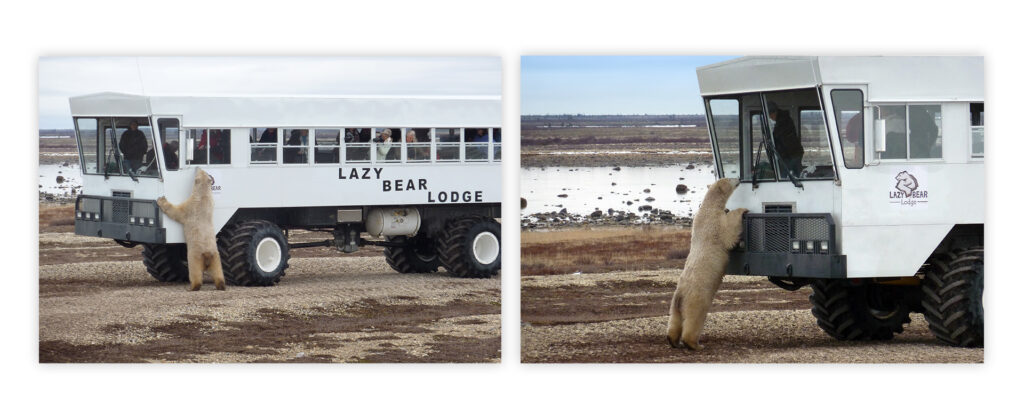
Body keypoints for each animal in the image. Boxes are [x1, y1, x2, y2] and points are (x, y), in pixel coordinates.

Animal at [663, 178, 745, 350]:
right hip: (697, 299)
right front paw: (742, 210)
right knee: (695, 319)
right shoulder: (715, 223)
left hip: (674, 303)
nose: (739, 179)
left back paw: (672, 340)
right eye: (730, 179)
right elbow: (729, 231)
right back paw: (695, 344)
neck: (707, 207)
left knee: (674, 320)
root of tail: (681, 297)